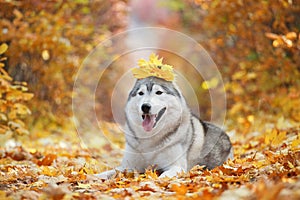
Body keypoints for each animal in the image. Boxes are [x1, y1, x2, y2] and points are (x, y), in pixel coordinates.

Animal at [97, 76, 233, 178]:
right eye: (141, 93)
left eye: (158, 92)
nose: (145, 106)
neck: (150, 140)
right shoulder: (128, 166)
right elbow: (109, 172)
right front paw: (94, 178)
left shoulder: (176, 166)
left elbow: (163, 176)